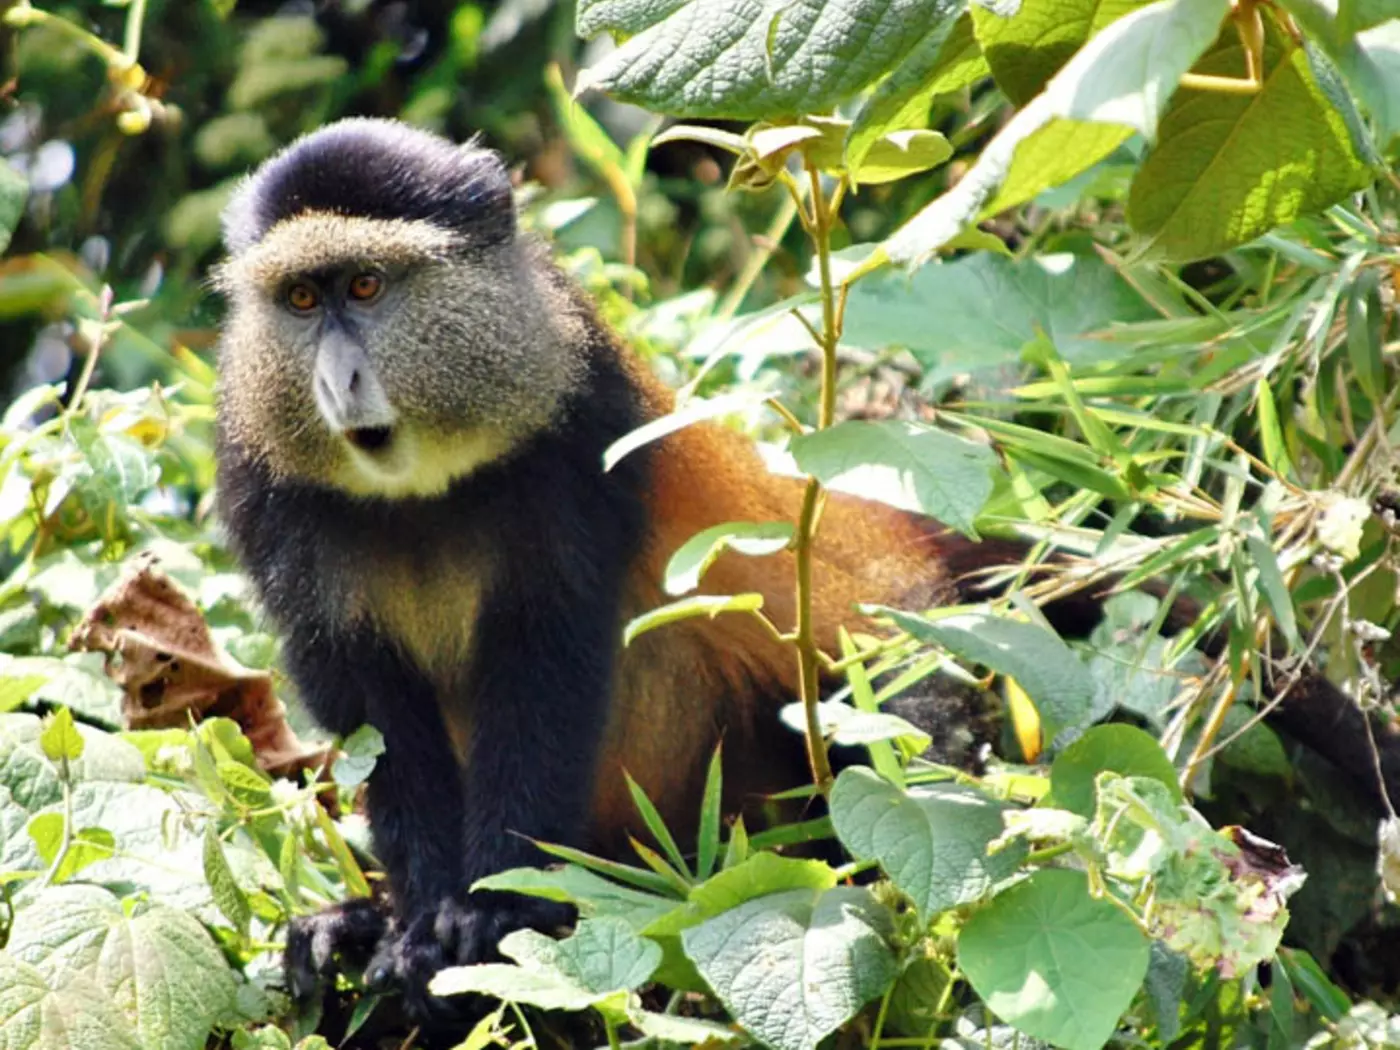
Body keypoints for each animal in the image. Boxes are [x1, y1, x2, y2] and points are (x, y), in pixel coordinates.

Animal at [213, 118, 1400, 1025]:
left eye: (369, 285)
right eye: (304, 303)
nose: (339, 377)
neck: (431, 486)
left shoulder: (580, 437)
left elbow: (546, 673)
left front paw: (484, 918)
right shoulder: (263, 490)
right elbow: (375, 720)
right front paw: (408, 929)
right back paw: (351, 923)